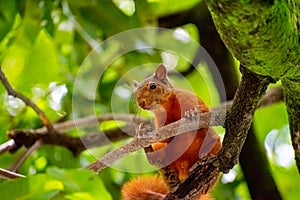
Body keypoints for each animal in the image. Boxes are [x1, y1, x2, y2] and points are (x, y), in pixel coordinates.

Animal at [120, 64, 221, 200]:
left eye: (153, 86)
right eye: (135, 94)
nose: (141, 103)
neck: (166, 106)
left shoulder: (189, 98)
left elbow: (204, 111)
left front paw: (192, 113)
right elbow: (165, 137)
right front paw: (141, 131)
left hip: (214, 145)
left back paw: (204, 160)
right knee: (156, 159)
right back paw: (149, 150)